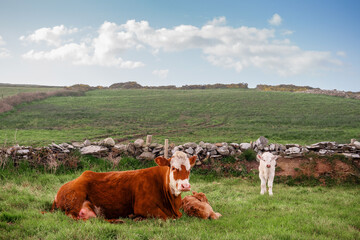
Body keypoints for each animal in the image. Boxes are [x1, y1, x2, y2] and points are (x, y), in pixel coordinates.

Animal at [51, 151, 195, 222]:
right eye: (173, 168)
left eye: (189, 169)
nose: (185, 185)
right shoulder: (143, 207)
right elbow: (165, 217)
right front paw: (137, 218)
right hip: (76, 198)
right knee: (75, 217)